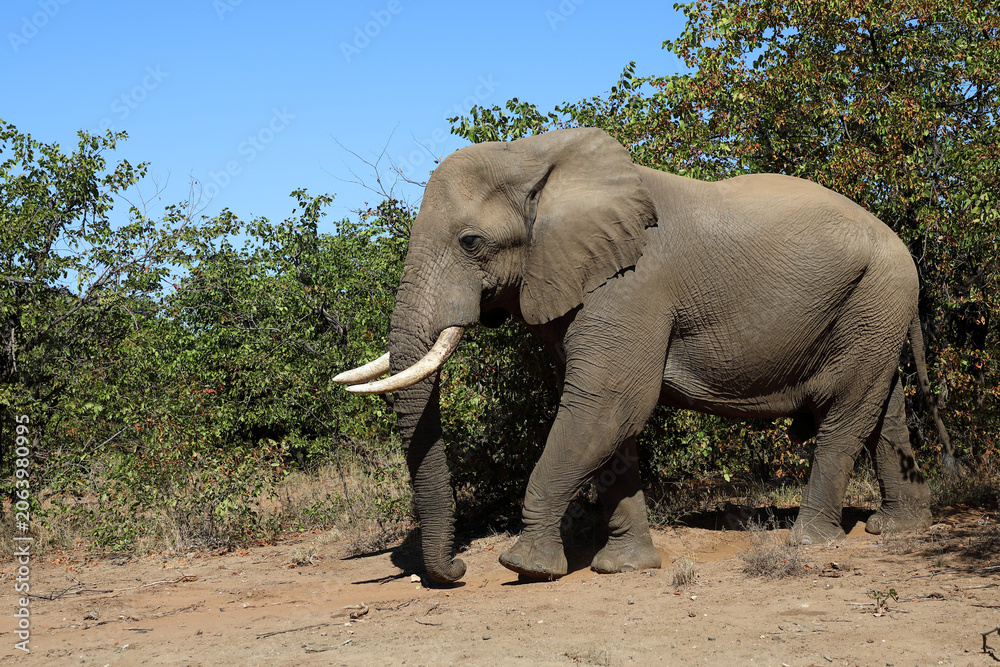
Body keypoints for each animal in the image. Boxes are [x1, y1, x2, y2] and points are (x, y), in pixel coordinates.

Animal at [334, 127, 945, 584]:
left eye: (471, 243)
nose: (458, 569)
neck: (537, 159)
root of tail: (901, 245)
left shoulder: (631, 286)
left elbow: (607, 403)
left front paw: (524, 567)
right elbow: (610, 420)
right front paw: (622, 569)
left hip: (875, 296)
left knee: (846, 415)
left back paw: (811, 542)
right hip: (877, 308)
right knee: (884, 412)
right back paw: (897, 529)